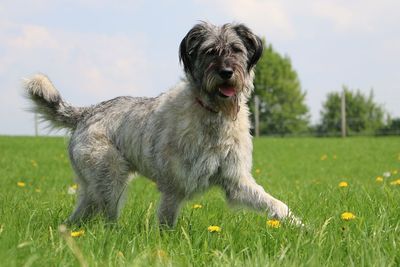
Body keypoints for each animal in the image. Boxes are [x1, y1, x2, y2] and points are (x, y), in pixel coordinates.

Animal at [24, 22, 300, 228]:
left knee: (80, 215)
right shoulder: (174, 187)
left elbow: (277, 205)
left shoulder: (236, 182)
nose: (226, 72)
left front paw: (301, 228)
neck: (213, 114)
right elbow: (167, 220)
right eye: (210, 51)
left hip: (94, 187)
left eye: (236, 49)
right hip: (111, 180)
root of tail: (87, 112)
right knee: (107, 217)